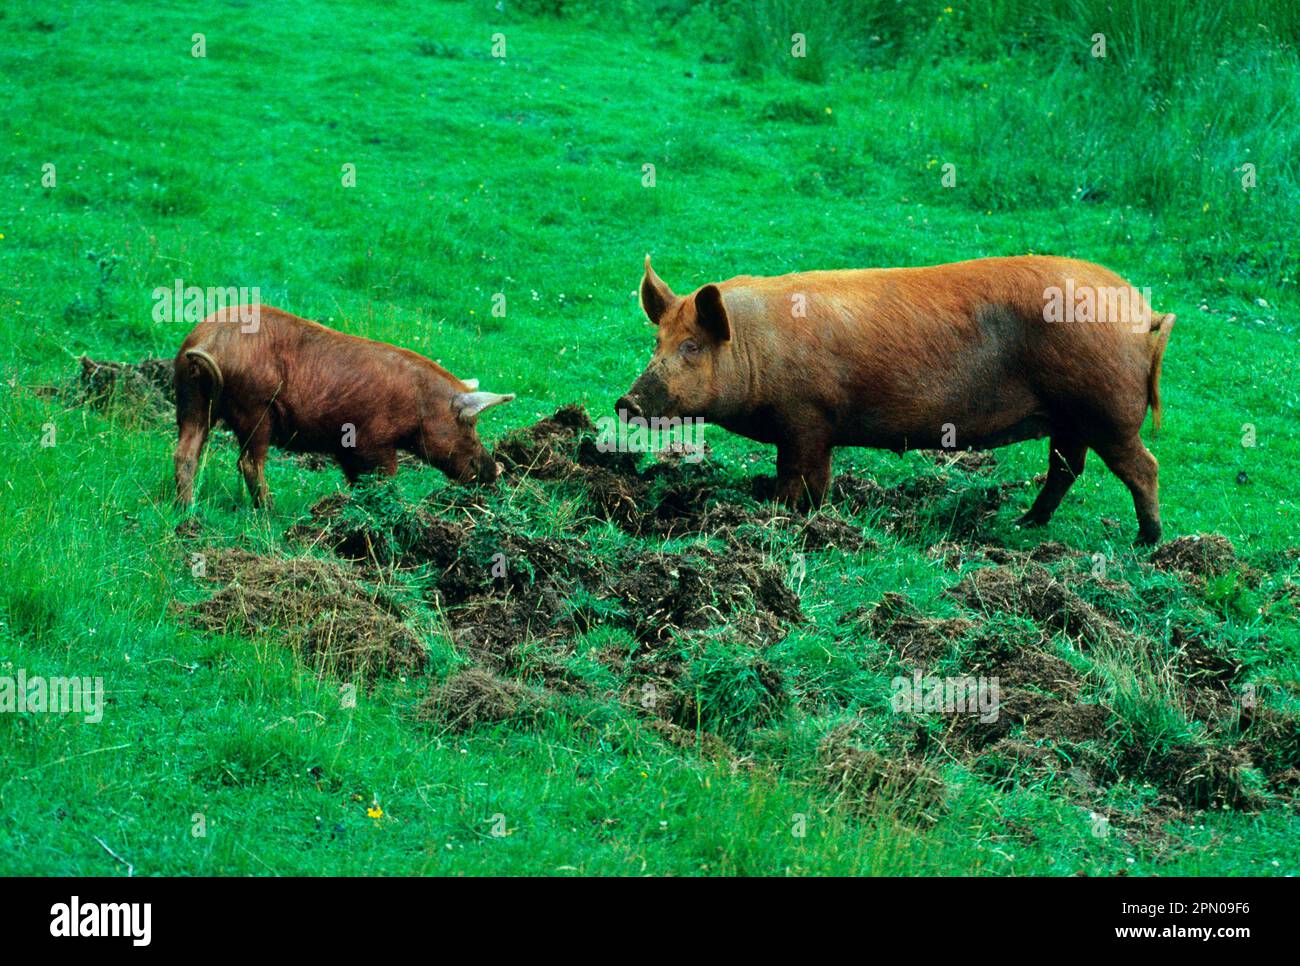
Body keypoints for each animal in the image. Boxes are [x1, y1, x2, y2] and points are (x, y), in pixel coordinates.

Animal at [171, 308, 512, 507]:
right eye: (470, 423)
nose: (494, 471)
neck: (420, 402)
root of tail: (207, 341)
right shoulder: (374, 440)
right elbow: (384, 477)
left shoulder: (347, 449)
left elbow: (357, 480)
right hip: (255, 407)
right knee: (249, 463)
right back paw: (268, 512)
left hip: (191, 400)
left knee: (185, 453)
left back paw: (186, 510)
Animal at [618, 254, 1180, 543]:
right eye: (657, 341)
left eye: (692, 347)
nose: (627, 403)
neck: (758, 345)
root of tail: (1141, 309)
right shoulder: (814, 429)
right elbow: (814, 481)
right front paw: (810, 515)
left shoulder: (807, 419)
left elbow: (796, 477)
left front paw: (779, 515)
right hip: (1069, 417)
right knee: (1066, 468)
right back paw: (1023, 523)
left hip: (1105, 410)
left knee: (1143, 467)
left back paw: (1147, 541)